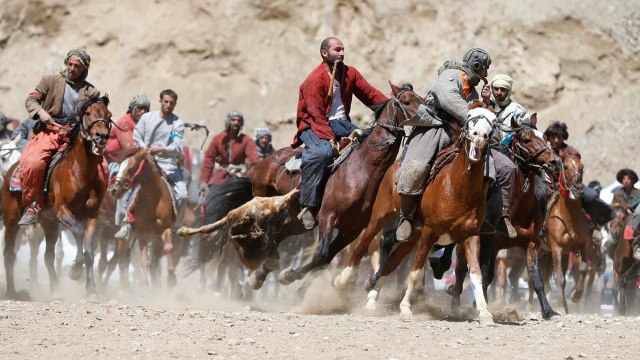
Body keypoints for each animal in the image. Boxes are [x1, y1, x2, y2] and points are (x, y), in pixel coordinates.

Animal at [2, 96, 111, 300]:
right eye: (88, 113)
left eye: (109, 115)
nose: (101, 136)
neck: (79, 171)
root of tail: (10, 172)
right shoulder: (62, 210)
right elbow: (78, 232)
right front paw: (75, 270)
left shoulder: (92, 215)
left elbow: (89, 250)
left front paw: (91, 290)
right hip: (11, 219)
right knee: (9, 254)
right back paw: (12, 291)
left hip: (49, 224)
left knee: (48, 256)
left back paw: (55, 291)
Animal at [109, 148, 185, 288]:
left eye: (131, 167)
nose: (114, 190)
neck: (154, 201)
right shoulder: (142, 234)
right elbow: (145, 261)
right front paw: (145, 286)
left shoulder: (164, 230)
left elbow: (167, 249)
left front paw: (171, 278)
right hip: (126, 238)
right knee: (122, 259)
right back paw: (124, 287)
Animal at [544, 153, 592, 314]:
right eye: (565, 167)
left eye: (582, 167)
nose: (577, 188)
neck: (568, 218)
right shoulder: (556, 248)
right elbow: (560, 278)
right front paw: (559, 306)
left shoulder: (581, 245)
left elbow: (584, 268)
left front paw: (576, 295)